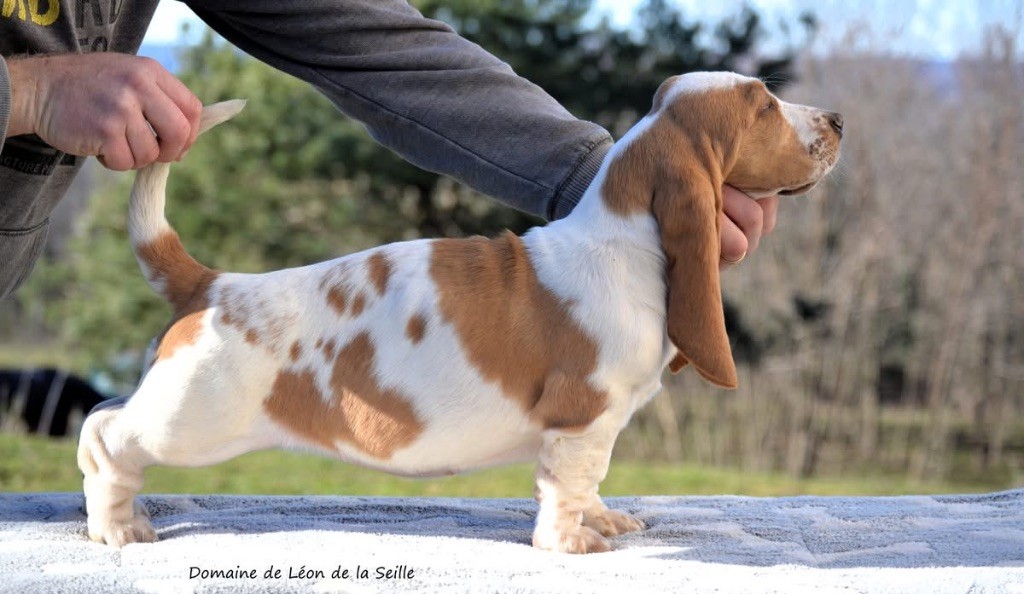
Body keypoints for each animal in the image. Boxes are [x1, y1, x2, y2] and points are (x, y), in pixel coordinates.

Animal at [79, 73, 843, 553]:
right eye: (764, 106)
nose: (836, 120)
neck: (626, 237)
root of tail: (210, 285)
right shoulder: (581, 417)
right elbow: (568, 483)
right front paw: (571, 541)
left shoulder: (599, 426)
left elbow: (592, 482)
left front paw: (604, 521)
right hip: (193, 419)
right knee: (107, 436)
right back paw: (118, 526)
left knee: (102, 416)